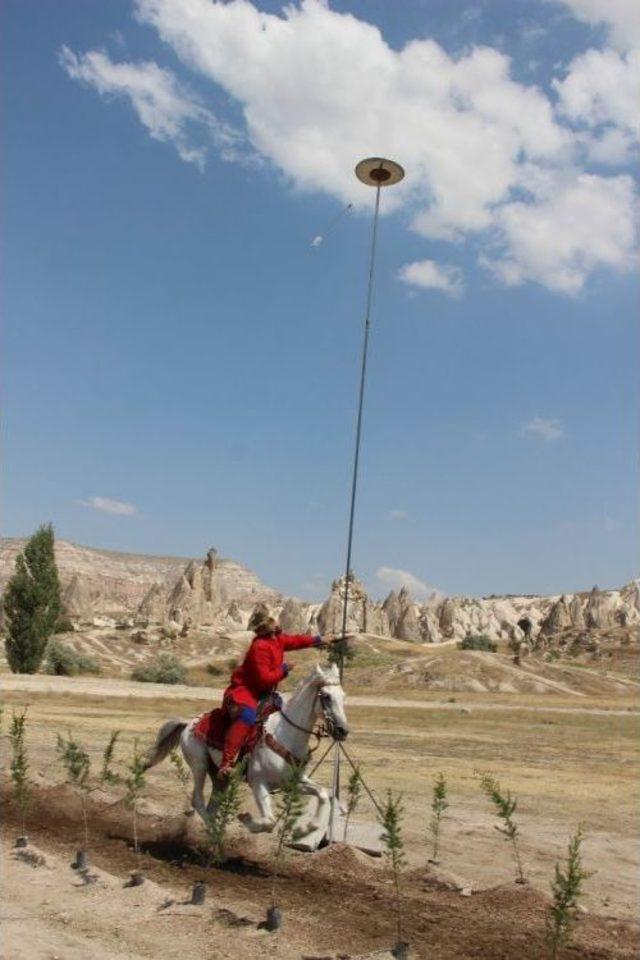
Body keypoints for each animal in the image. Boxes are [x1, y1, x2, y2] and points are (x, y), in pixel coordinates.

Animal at [144, 664, 348, 836]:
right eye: (326, 696)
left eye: (343, 696)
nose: (343, 731)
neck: (285, 735)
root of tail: (188, 724)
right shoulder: (258, 782)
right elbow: (269, 821)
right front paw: (246, 819)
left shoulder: (293, 782)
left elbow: (323, 794)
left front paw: (304, 829)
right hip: (199, 765)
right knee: (198, 801)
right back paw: (215, 836)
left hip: (219, 778)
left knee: (212, 807)